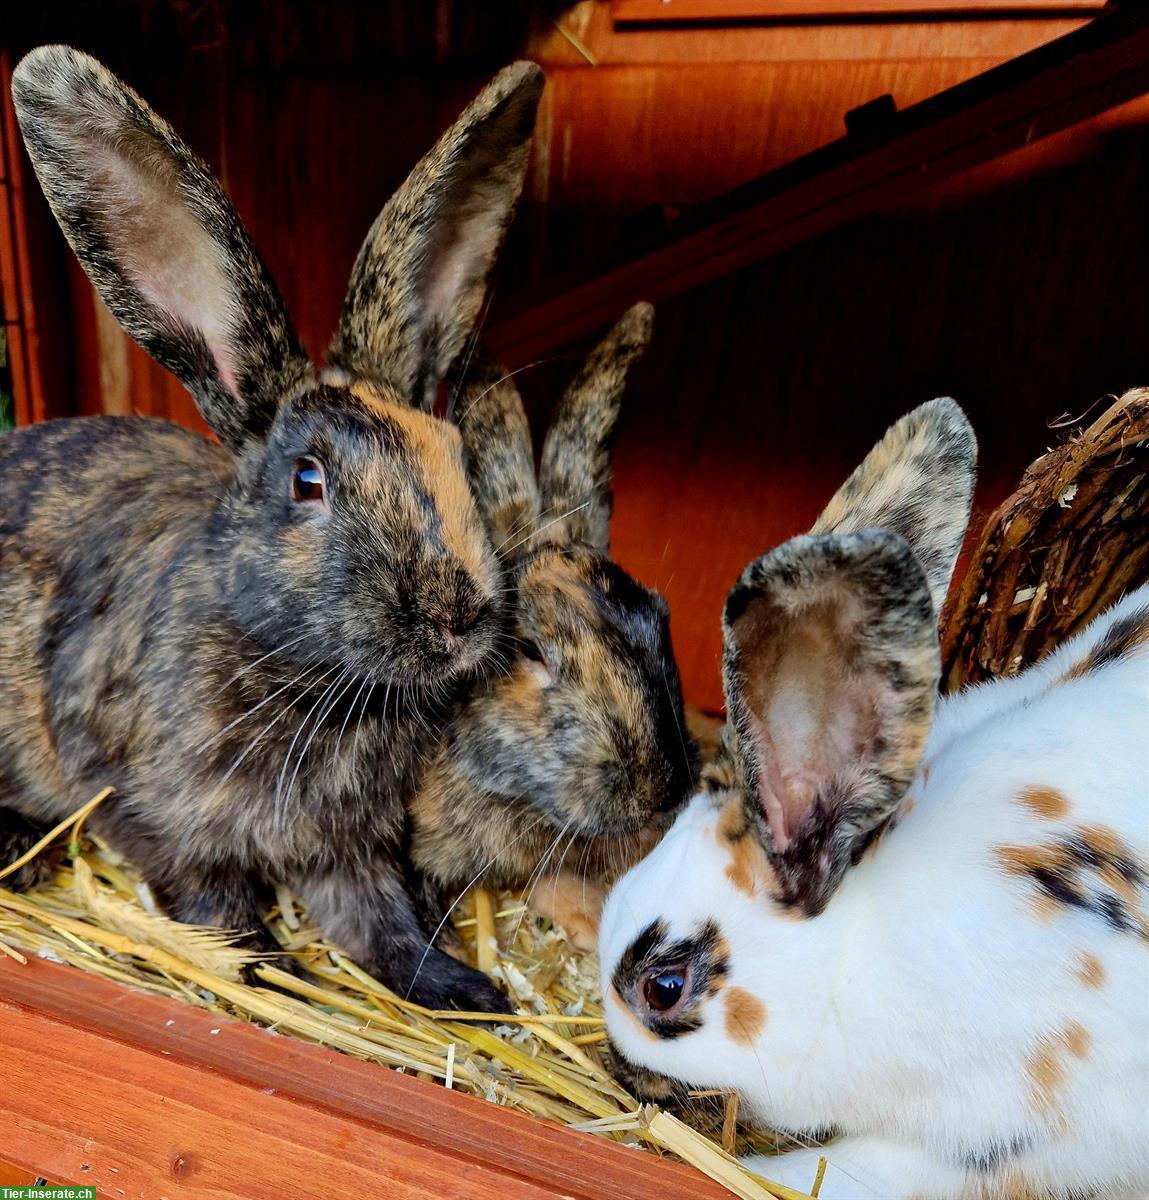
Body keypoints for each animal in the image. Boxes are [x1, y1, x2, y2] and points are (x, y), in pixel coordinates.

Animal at [1, 42, 549, 1008]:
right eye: (307, 480)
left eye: (454, 452)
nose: (457, 615)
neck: (313, 683)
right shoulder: (156, 815)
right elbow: (213, 905)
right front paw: (267, 971)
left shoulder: (353, 847)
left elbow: (380, 922)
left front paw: (464, 991)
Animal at [597, 400, 1146, 1200]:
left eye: (663, 987)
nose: (619, 1063)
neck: (852, 959)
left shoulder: (1016, 1133)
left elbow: (866, 1168)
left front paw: (763, 1169)